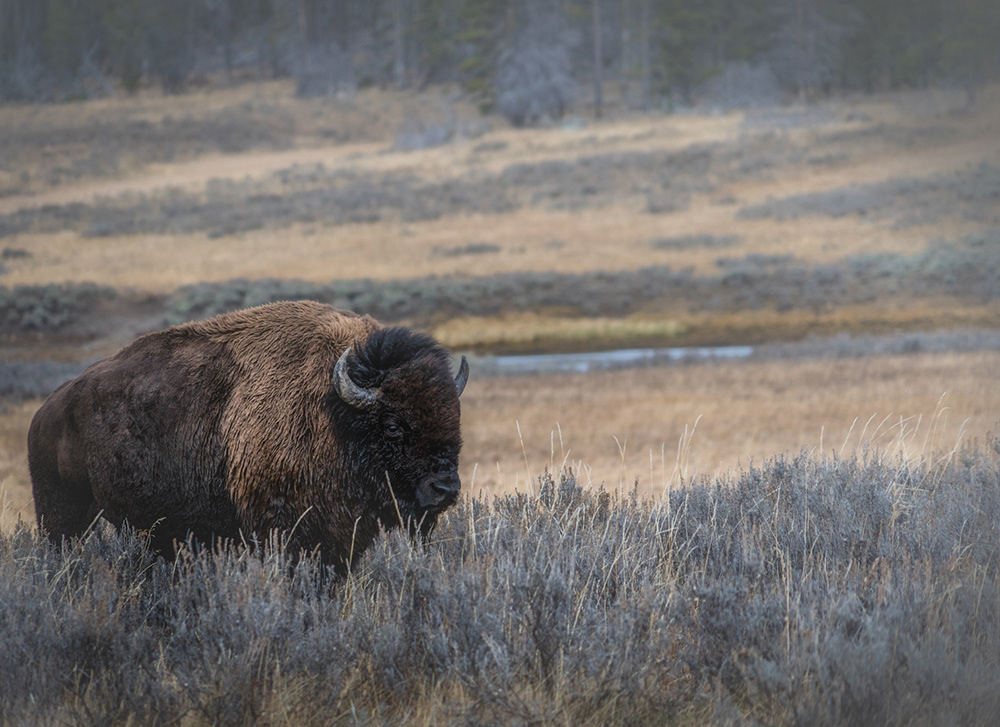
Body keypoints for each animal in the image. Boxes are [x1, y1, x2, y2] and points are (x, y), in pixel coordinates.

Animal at [27, 300, 469, 574]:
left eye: (455, 420)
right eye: (393, 425)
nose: (445, 488)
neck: (335, 412)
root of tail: (47, 410)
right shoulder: (287, 532)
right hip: (62, 515)